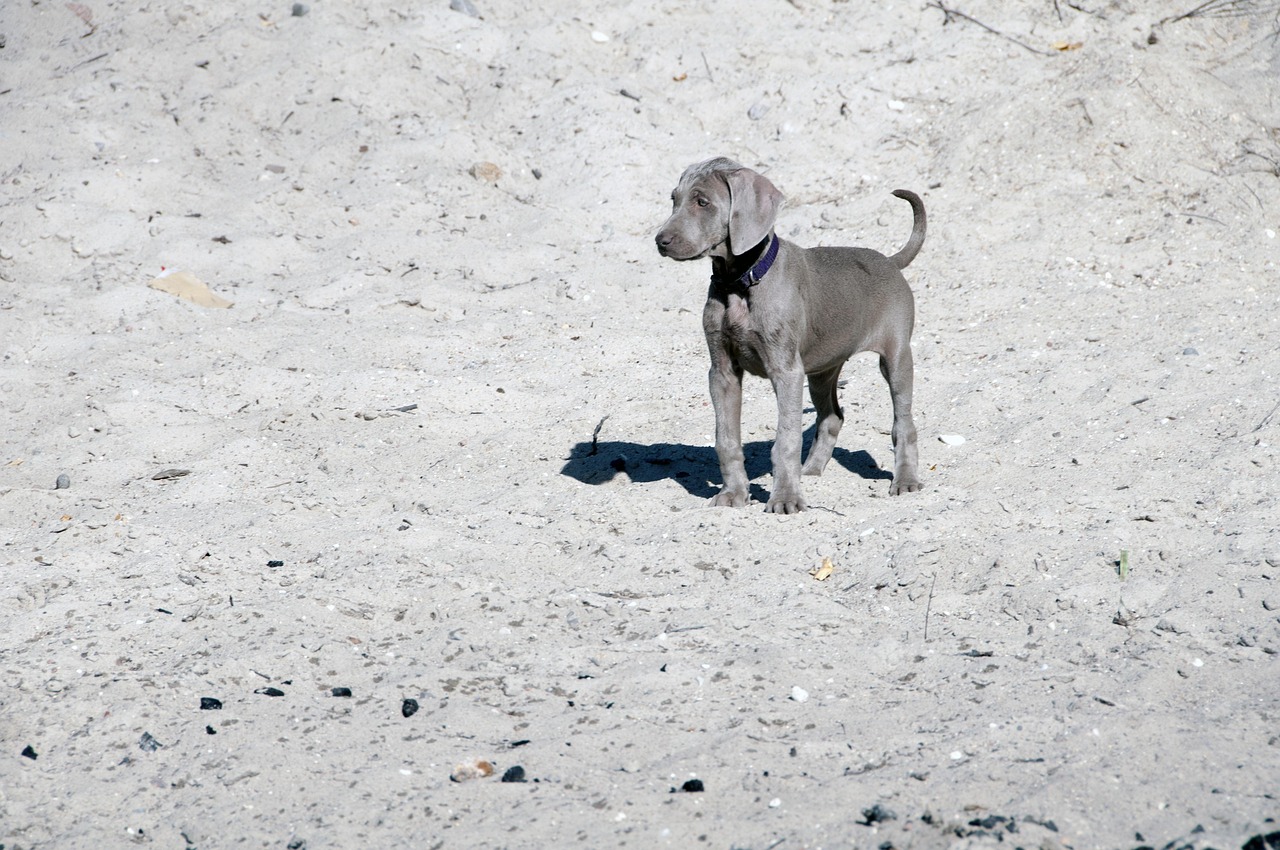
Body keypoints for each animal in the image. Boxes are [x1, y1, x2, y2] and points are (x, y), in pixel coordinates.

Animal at [655, 156, 926, 514]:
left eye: (703, 202)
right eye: (674, 199)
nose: (660, 241)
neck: (740, 282)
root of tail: (889, 261)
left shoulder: (785, 370)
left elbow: (785, 438)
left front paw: (785, 498)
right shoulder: (722, 372)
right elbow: (726, 438)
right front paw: (733, 493)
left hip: (896, 356)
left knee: (903, 422)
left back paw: (905, 480)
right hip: (822, 369)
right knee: (832, 416)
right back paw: (810, 470)